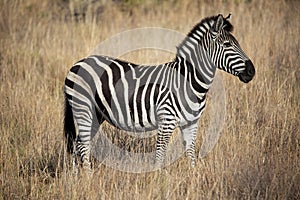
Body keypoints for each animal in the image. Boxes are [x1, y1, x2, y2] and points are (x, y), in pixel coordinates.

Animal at [63, 14, 255, 170]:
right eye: (227, 44)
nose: (252, 71)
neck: (189, 82)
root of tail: (78, 63)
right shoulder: (166, 120)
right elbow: (160, 155)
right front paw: (158, 180)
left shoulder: (191, 122)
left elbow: (191, 152)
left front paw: (194, 179)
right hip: (83, 109)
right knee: (82, 146)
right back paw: (87, 178)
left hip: (96, 114)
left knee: (79, 144)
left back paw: (76, 179)